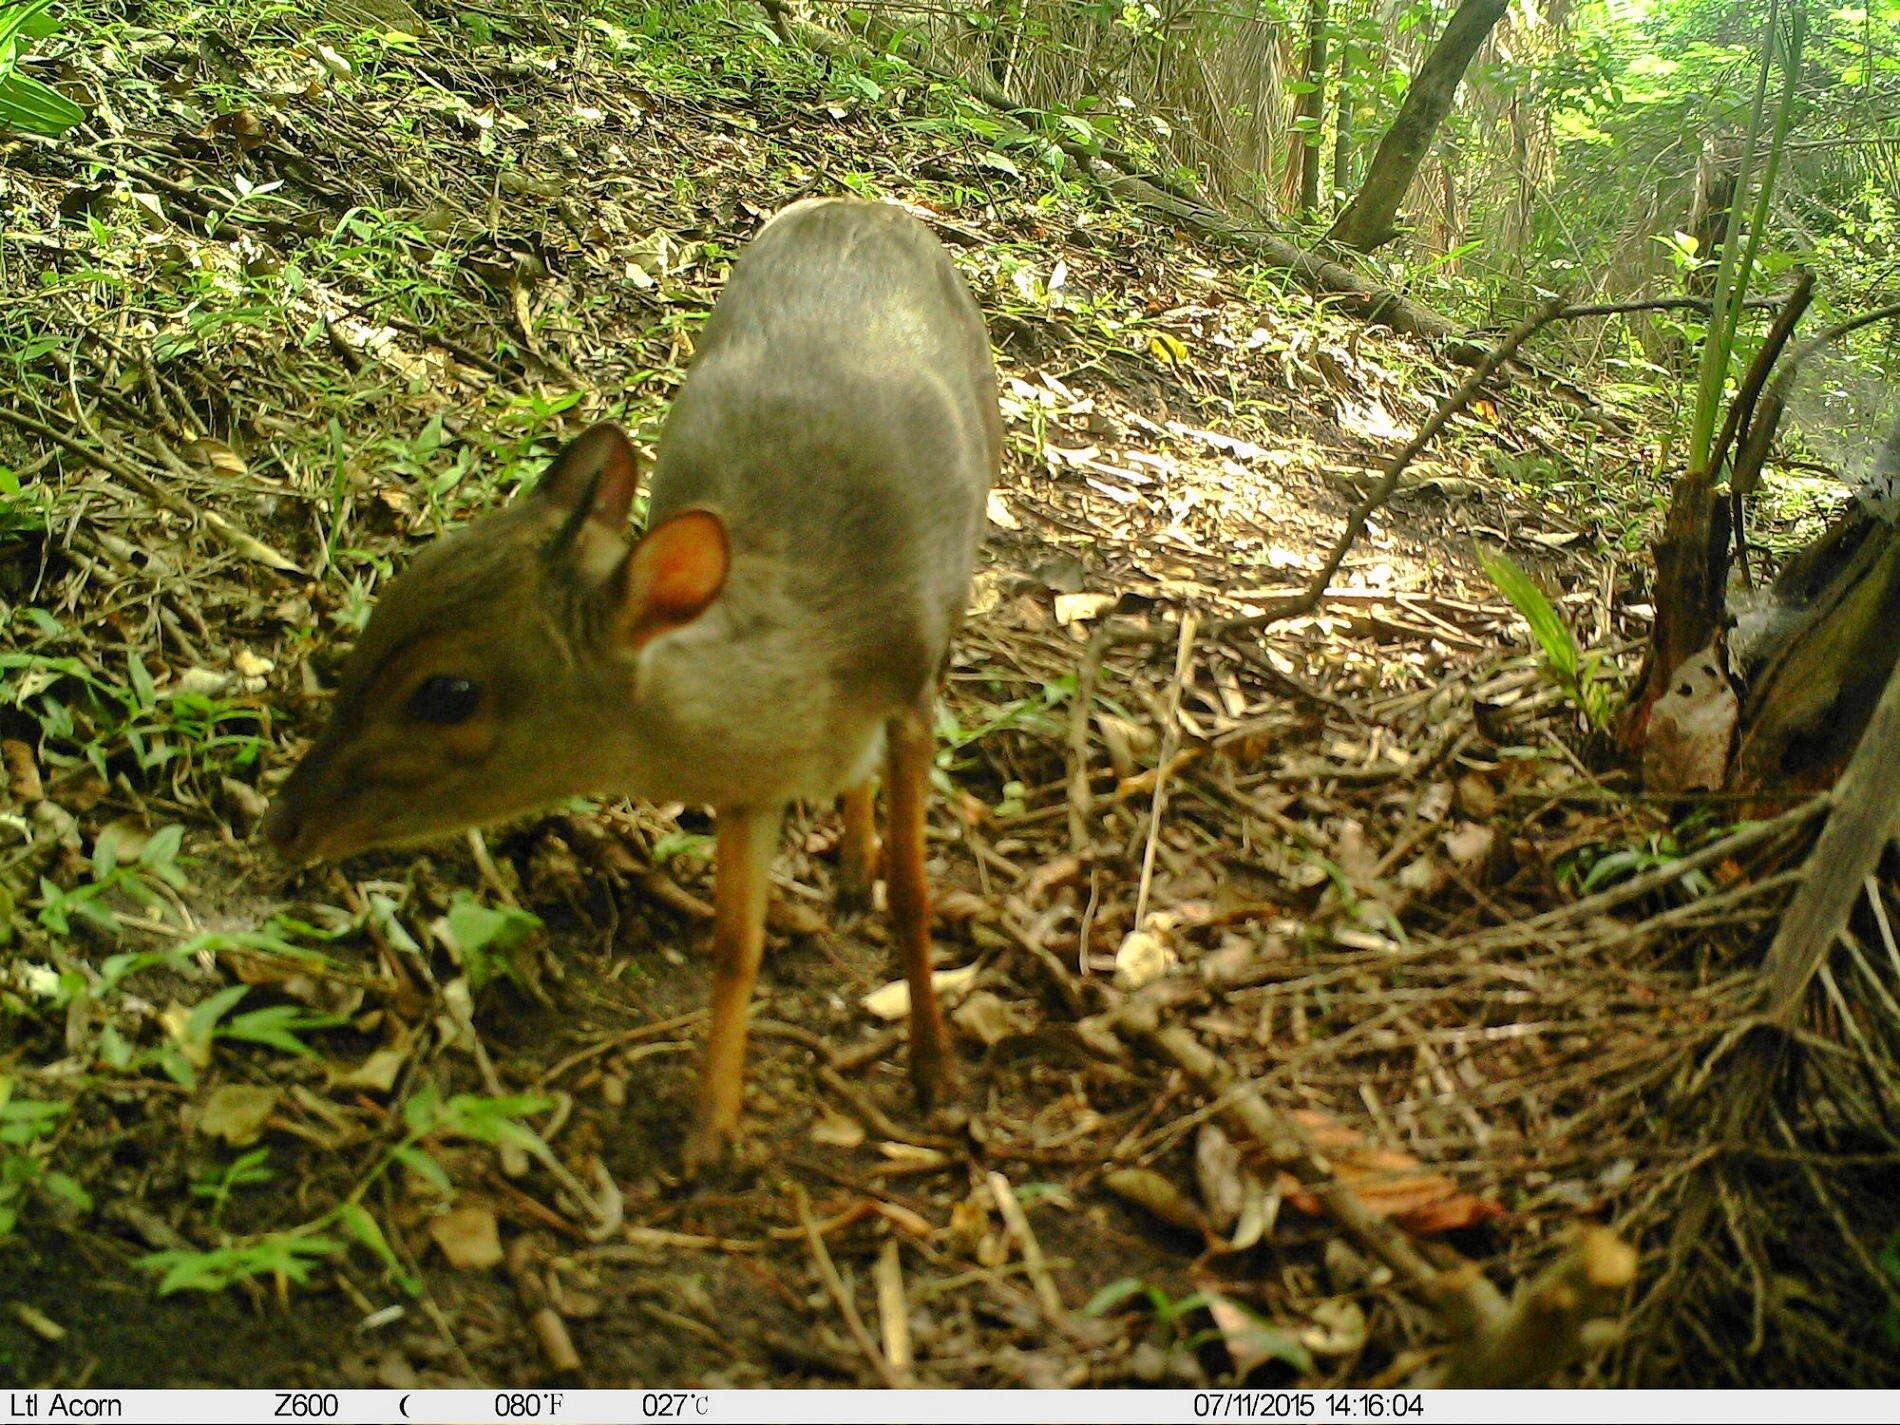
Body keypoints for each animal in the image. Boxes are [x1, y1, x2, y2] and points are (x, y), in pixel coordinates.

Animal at [273, 195, 1010, 1162]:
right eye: (389, 598)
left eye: (447, 691)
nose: (282, 824)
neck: (817, 640)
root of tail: (863, 202)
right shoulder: (751, 782)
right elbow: (735, 942)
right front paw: (710, 1125)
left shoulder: (914, 689)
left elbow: (918, 898)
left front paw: (933, 1071)